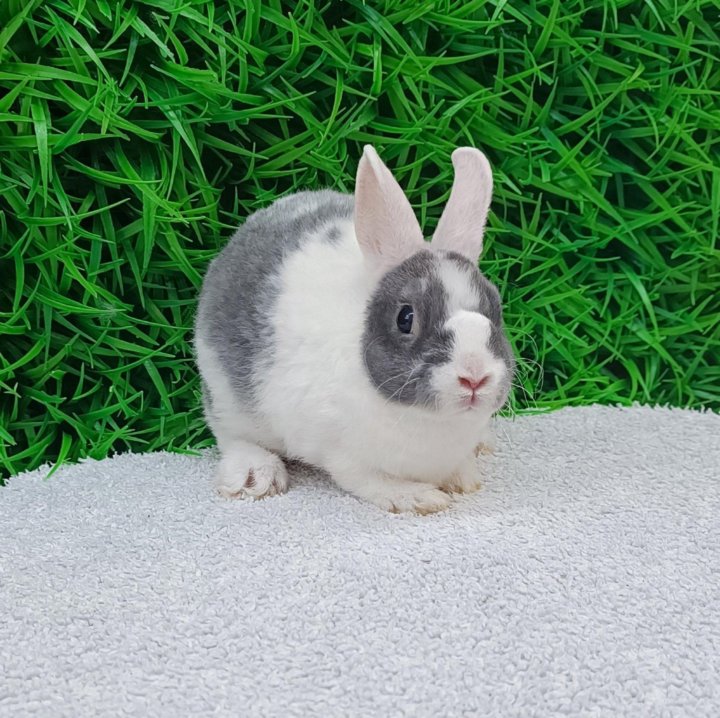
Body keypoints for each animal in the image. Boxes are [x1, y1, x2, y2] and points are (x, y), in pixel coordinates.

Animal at [194, 145, 515, 514]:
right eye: (406, 318)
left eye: (496, 309)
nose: (475, 376)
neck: (432, 421)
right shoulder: (343, 454)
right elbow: (370, 482)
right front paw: (419, 498)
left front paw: (465, 479)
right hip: (226, 394)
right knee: (231, 436)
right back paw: (255, 477)